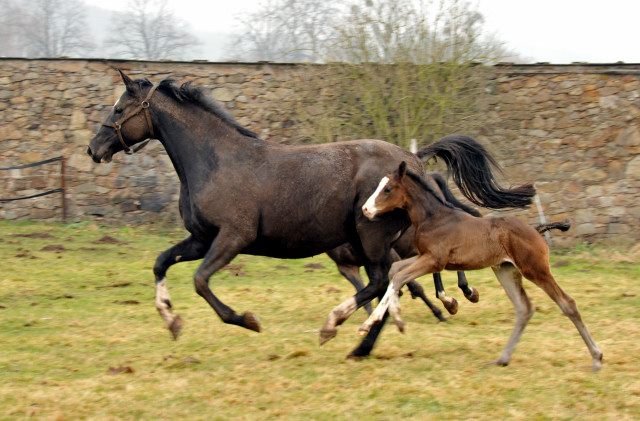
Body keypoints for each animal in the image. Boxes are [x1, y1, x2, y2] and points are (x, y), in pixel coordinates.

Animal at [362, 162, 604, 370]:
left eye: (387, 189)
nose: (365, 209)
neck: (434, 218)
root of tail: (536, 230)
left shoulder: (434, 260)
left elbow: (399, 277)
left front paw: (378, 322)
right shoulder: (425, 256)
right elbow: (395, 271)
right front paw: (389, 319)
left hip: (535, 269)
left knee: (567, 303)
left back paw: (597, 358)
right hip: (505, 270)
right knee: (524, 309)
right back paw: (502, 359)